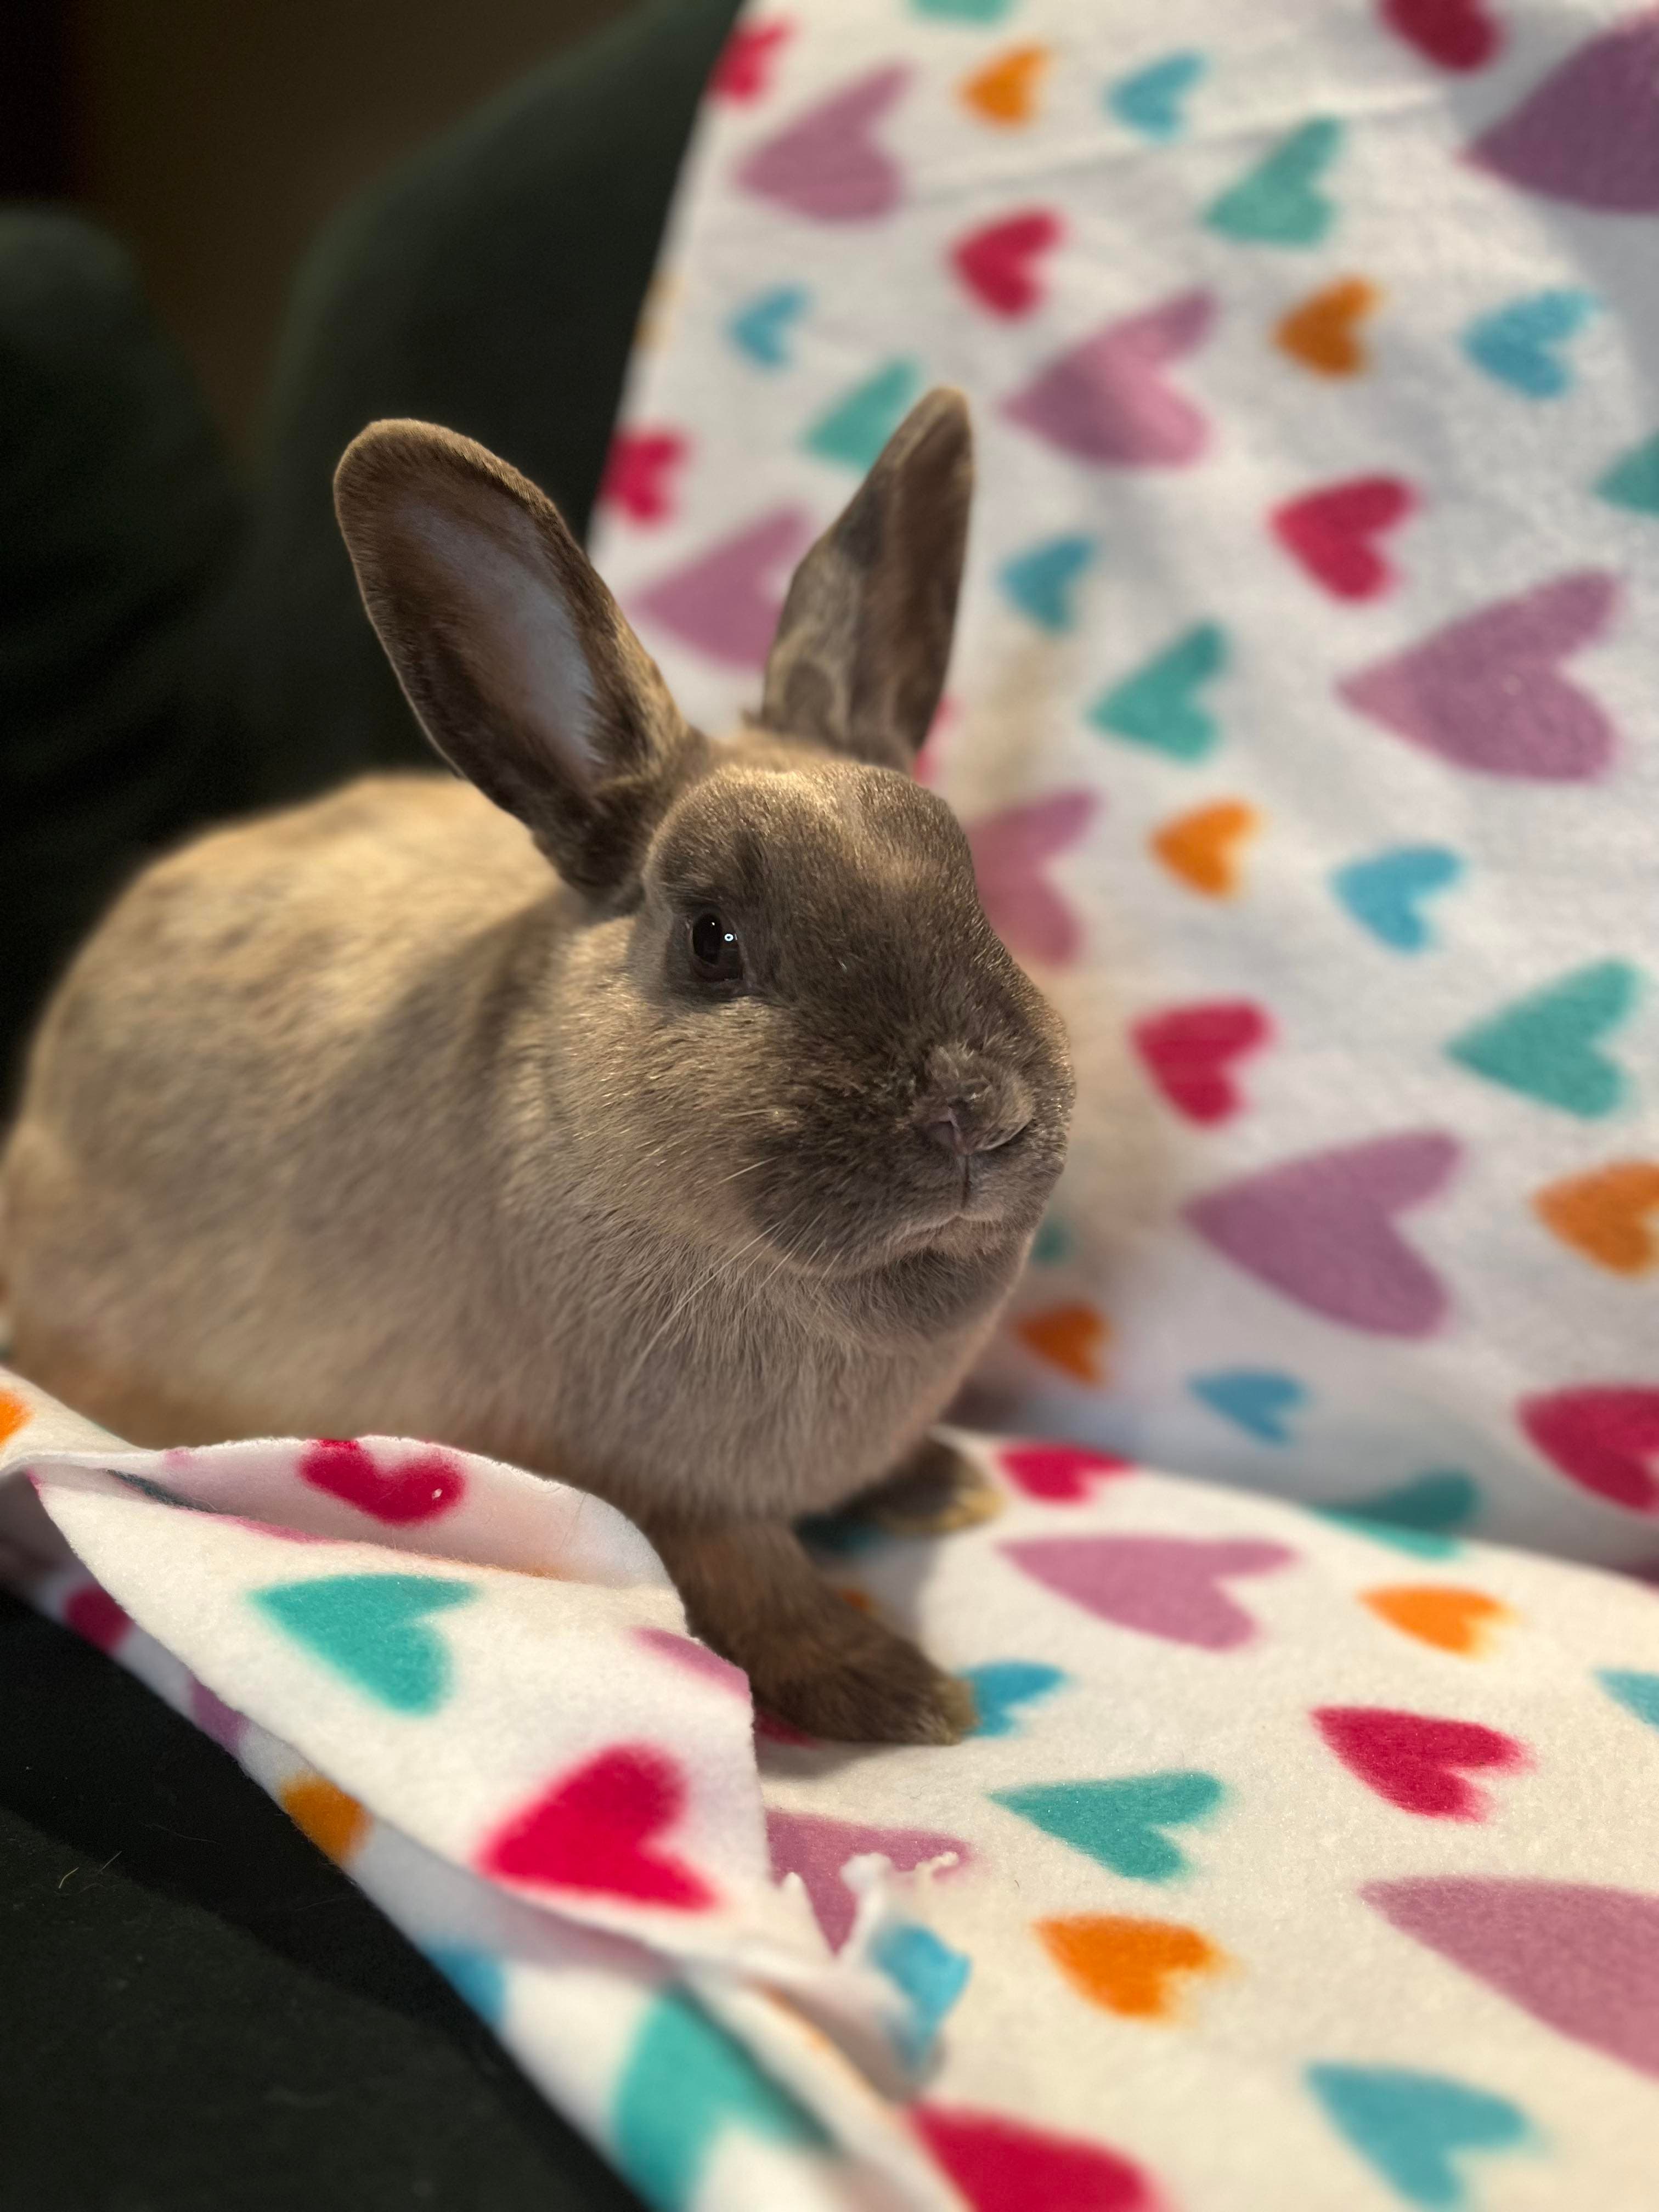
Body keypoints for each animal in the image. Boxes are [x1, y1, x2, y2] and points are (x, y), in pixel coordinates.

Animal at [0, 390, 1075, 1744]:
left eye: (968, 881)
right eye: (710, 939)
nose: (977, 1110)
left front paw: (941, 1490)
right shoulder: (675, 1499)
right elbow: (758, 1590)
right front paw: (901, 1695)